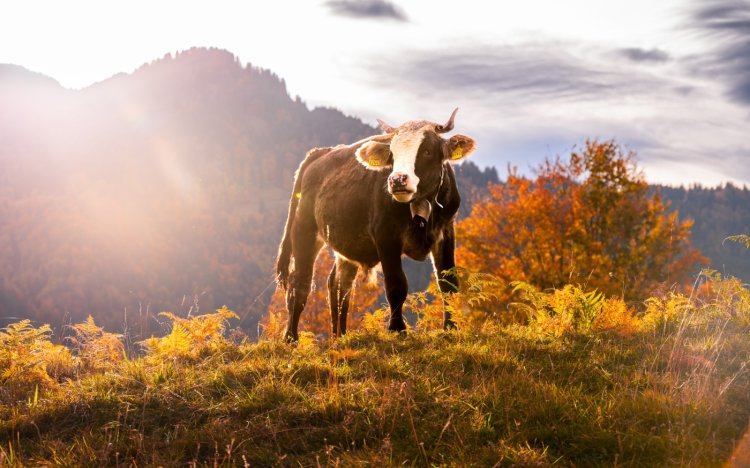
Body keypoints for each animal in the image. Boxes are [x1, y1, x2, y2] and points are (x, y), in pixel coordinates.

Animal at [275, 108, 476, 341]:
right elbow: (396, 285)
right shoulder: (385, 235)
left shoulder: (446, 231)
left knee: (339, 285)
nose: (397, 180)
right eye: (392, 154)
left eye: (426, 151)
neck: (421, 204)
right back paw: (291, 338)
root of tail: (320, 152)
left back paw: (340, 336)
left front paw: (451, 328)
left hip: (346, 242)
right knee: (299, 284)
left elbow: (448, 283)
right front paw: (397, 330)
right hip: (304, 229)